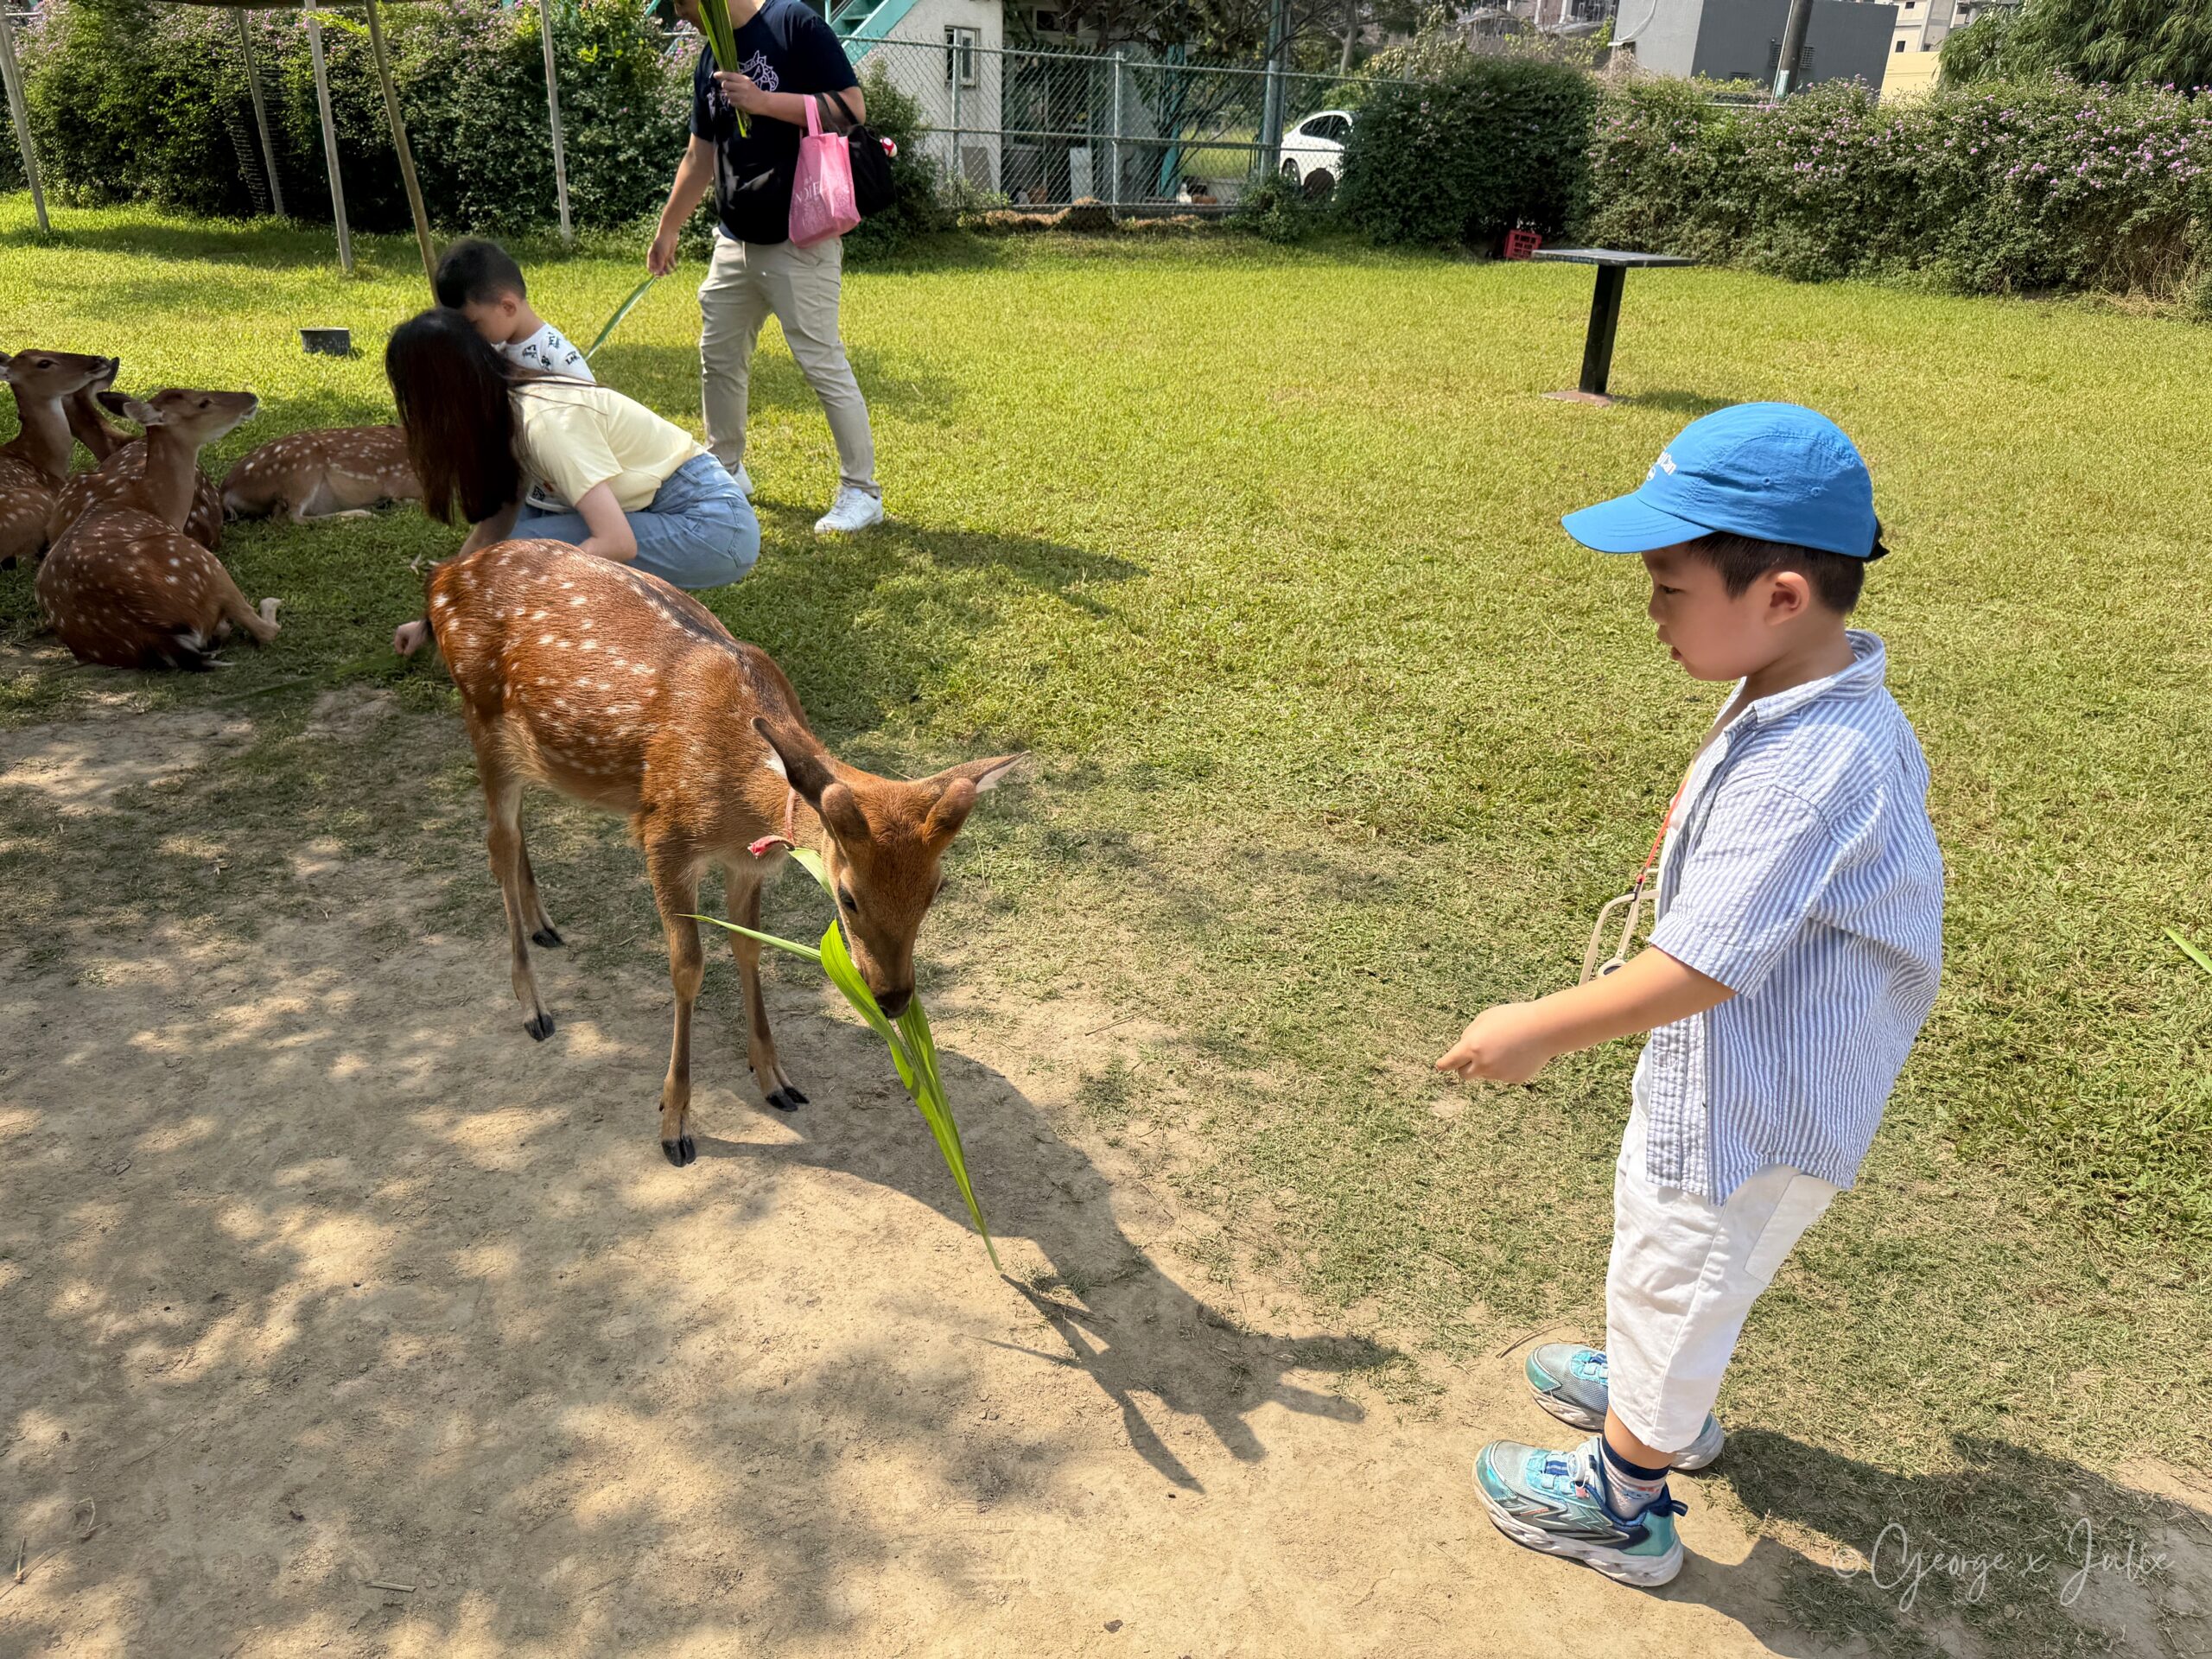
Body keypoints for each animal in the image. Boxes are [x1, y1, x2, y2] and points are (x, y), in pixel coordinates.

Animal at [37, 387, 280, 671]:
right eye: (203, 402)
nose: (250, 396)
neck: (154, 505)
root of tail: (157, 635)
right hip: (204, 562)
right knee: (263, 630)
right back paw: (270, 603)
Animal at [425, 539, 1021, 1166]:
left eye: (936, 891)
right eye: (848, 897)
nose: (893, 999)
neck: (742, 793)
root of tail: (445, 573)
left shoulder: (748, 861)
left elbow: (748, 946)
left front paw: (775, 1078)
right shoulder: (663, 834)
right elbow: (687, 967)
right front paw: (674, 1123)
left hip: (535, 752)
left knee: (520, 829)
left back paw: (545, 924)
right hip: (480, 718)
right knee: (498, 843)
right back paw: (533, 1007)